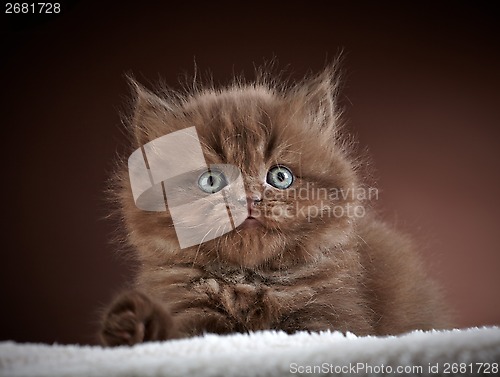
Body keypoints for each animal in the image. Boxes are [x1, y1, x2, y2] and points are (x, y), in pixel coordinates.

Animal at [97, 64, 450, 346]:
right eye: (211, 181)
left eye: (280, 177)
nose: (250, 198)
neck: (248, 281)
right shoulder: (185, 309)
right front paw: (132, 325)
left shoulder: (331, 316)